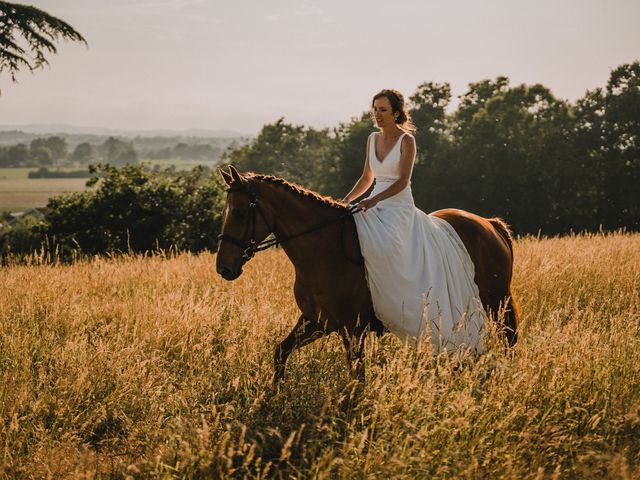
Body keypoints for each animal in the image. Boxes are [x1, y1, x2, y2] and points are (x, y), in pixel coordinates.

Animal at [218, 167, 516, 384]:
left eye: (239, 212)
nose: (223, 268)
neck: (324, 249)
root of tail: (489, 224)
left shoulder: (353, 328)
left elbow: (357, 378)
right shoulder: (317, 321)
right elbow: (281, 351)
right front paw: (275, 394)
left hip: (497, 301)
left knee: (509, 339)